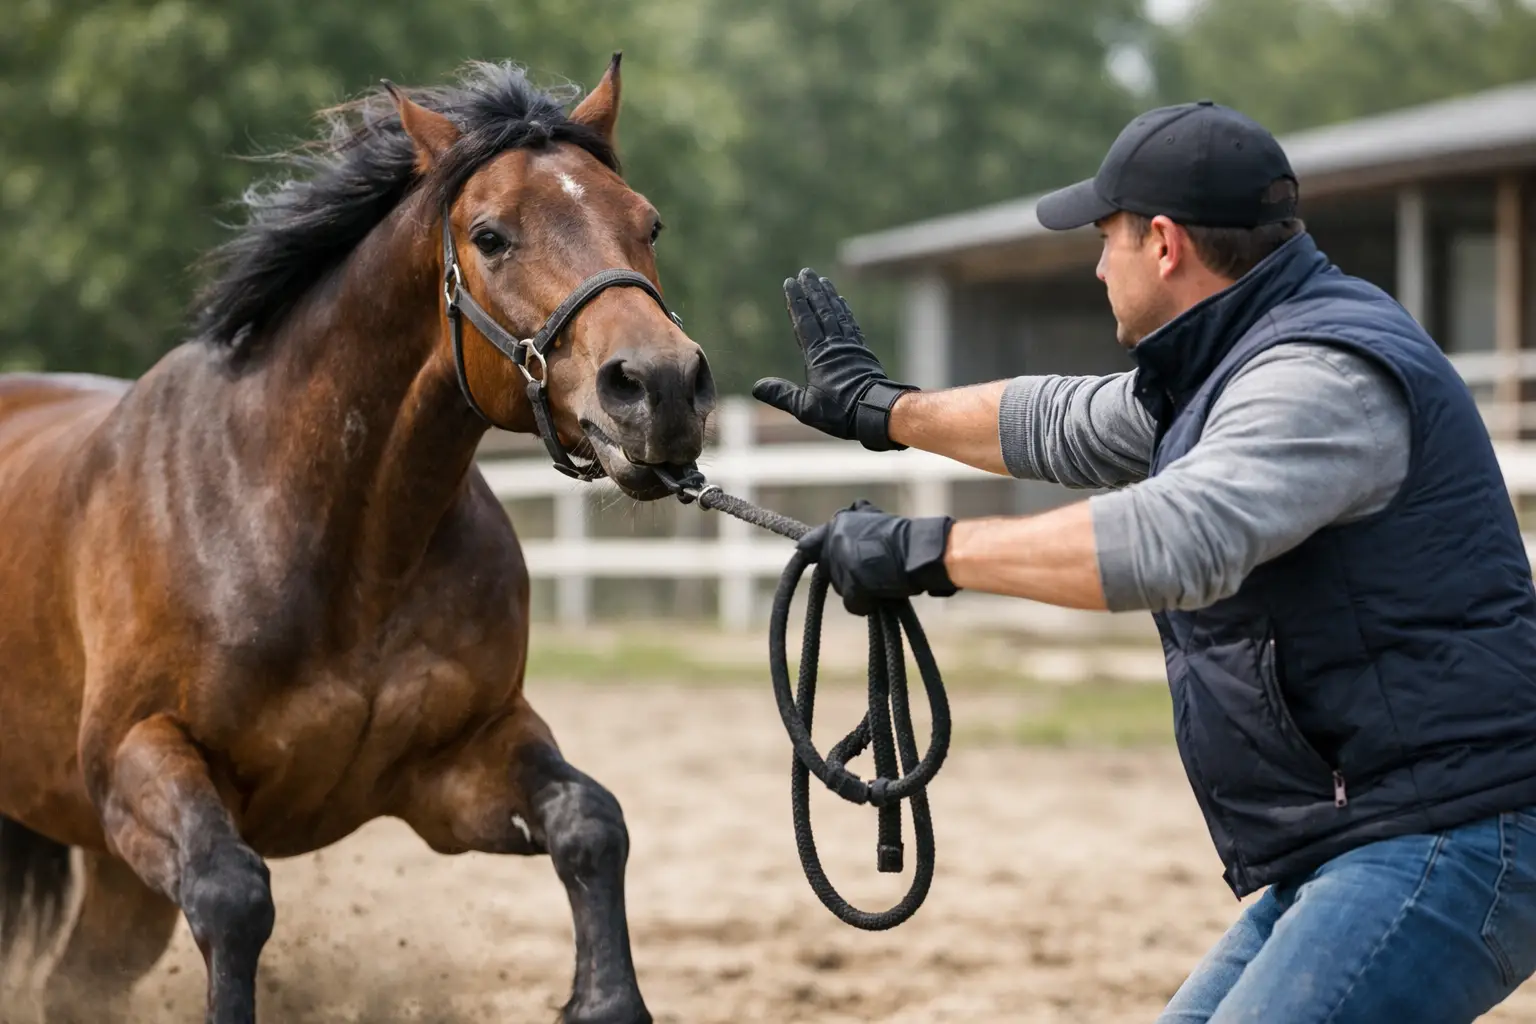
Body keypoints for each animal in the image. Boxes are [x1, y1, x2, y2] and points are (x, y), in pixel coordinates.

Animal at [0, 54, 713, 1024]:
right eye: (490, 236)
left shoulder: (457, 767)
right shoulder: (134, 760)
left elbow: (590, 822)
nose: (662, 388)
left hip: (122, 886)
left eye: (649, 222)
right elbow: (234, 896)